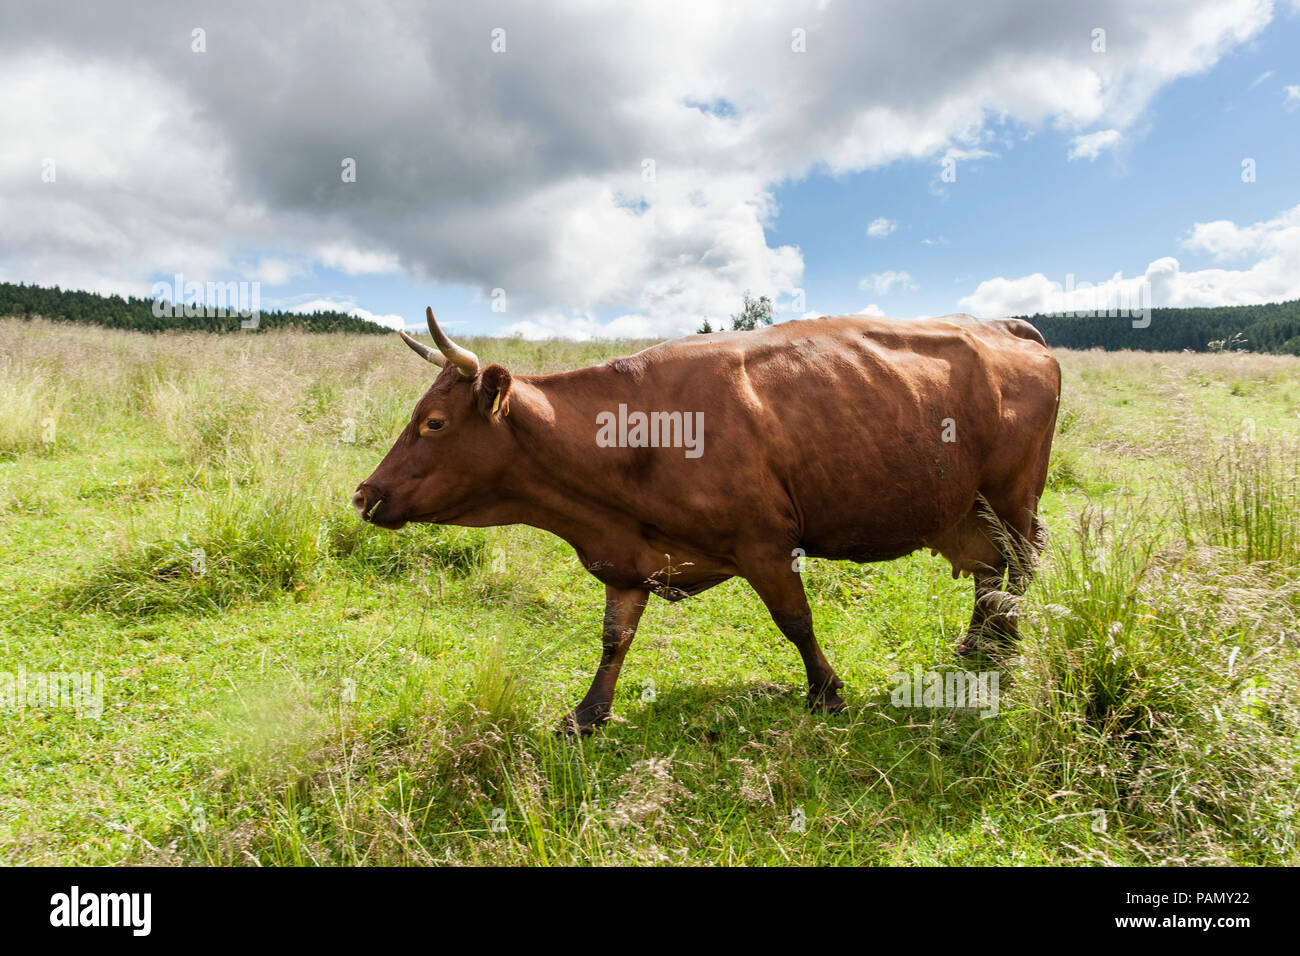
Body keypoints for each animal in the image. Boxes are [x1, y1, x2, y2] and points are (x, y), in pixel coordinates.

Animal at [353, 306, 1055, 733]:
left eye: (433, 423)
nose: (363, 495)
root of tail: (1008, 325)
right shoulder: (628, 560)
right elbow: (614, 639)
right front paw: (587, 715)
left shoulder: (766, 545)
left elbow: (796, 622)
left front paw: (826, 692)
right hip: (973, 508)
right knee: (991, 576)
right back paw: (978, 645)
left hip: (1013, 498)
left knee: (1016, 571)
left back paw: (1004, 648)